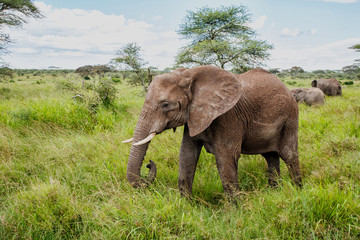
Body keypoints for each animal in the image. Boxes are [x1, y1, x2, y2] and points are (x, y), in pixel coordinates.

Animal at [123, 65, 300, 197]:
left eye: (165, 105)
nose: (149, 164)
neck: (188, 75)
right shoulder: (194, 115)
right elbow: (187, 154)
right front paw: (187, 206)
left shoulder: (228, 116)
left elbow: (226, 158)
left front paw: (234, 215)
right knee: (270, 156)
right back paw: (274, 192)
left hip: (290, 117)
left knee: (289, 155)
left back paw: (297, 190)